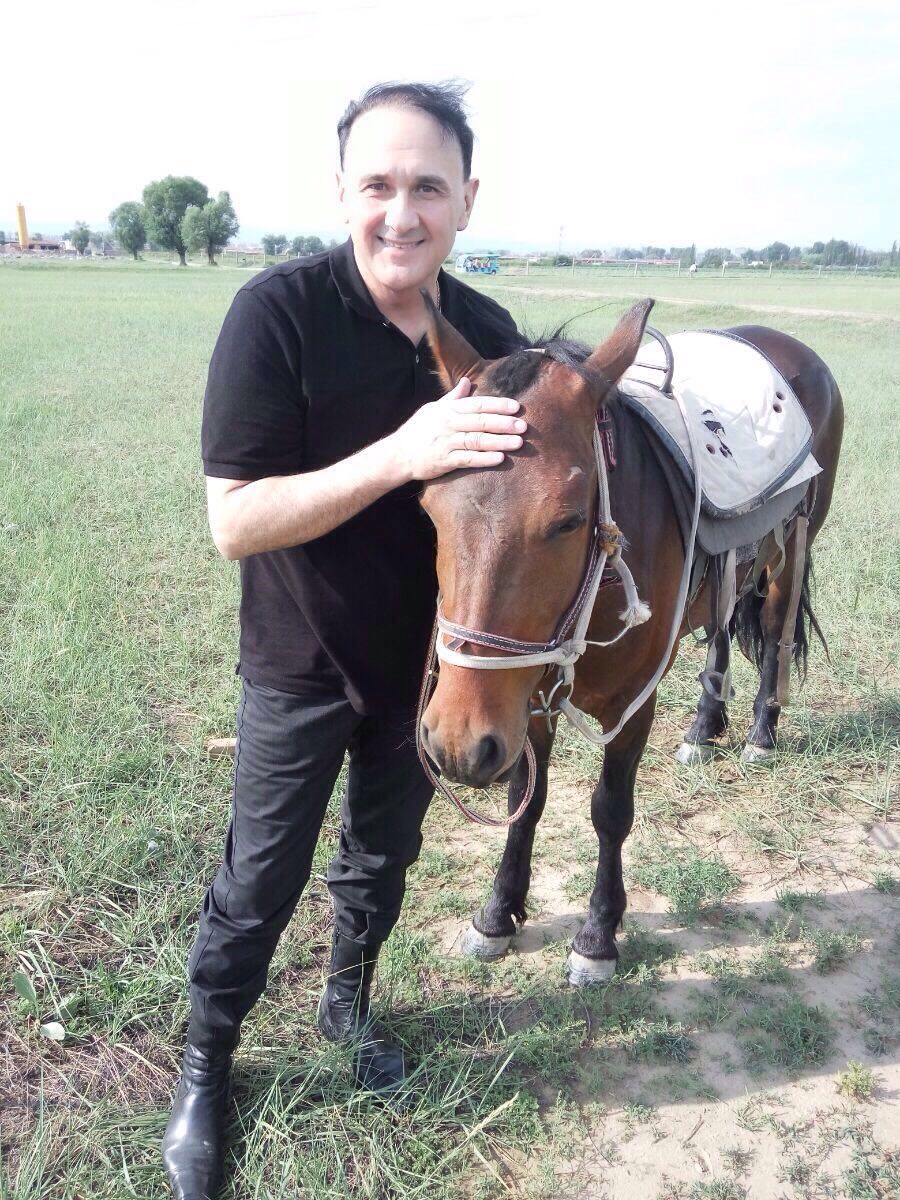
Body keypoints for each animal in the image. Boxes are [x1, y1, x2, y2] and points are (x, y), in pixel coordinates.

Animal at [417, 298, 843, 983]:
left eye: (567, 520)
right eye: (429, 505)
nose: (455, 744)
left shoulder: (633, 703)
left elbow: (610, 809)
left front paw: (597, 933)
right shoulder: (523, 697)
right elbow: (525, 797)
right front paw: (499, 912)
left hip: (788, 554)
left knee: (775, 637)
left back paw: (759, 734)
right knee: (721, 633)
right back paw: (704, 727)